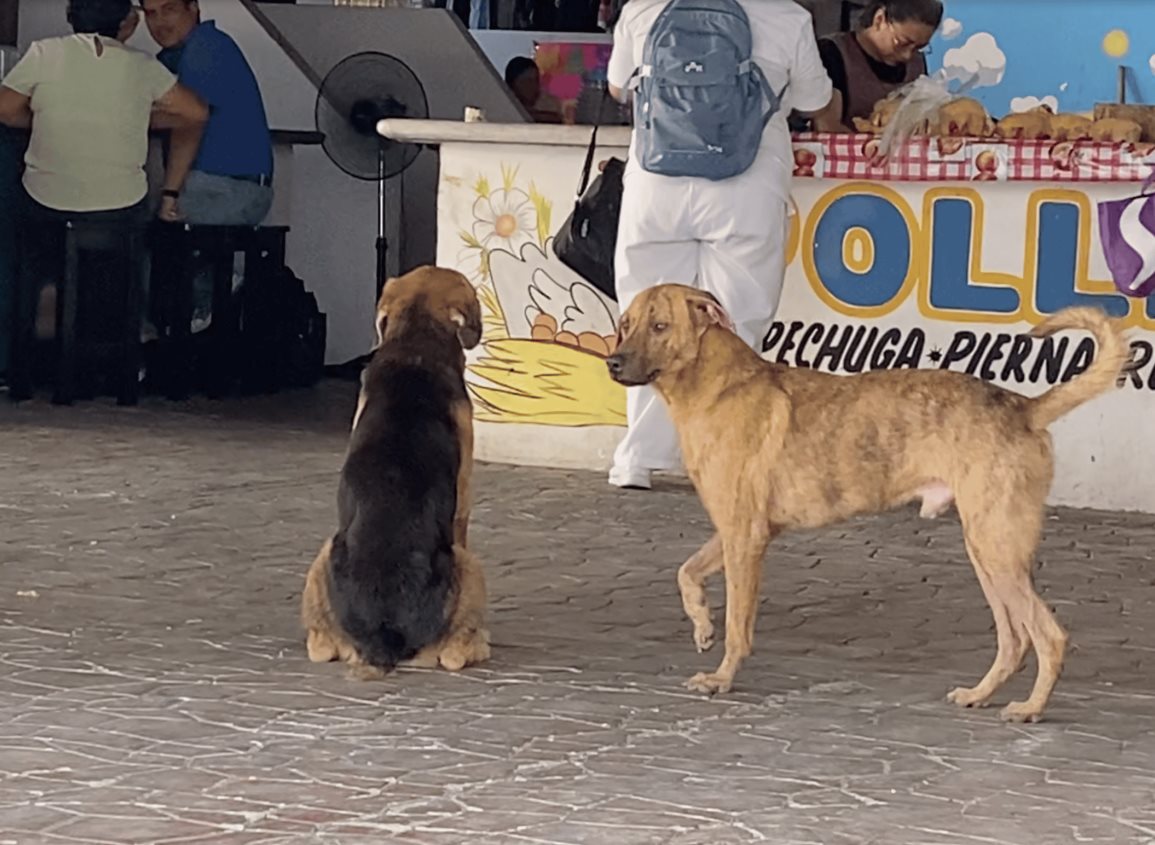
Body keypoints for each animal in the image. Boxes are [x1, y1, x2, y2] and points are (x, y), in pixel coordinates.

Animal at [300, 267, 489, 678]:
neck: (415, 347)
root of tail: (383, 639)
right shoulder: (464, 503)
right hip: (468, 563)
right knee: (453, 656)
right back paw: (480, 644)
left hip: (324, 553)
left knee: (320, 646)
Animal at [609, 283, 1131, 720]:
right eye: (626, 323)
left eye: (660, 326)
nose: (612, 362)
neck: (713, 387)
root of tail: (1024, 407)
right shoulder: (738, 531)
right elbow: (687, 572)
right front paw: (701, 624)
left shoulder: (745, 536)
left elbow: (739, 625)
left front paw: (721, 678)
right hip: (986, 551)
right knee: (1015, 638)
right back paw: (980, 695)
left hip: (996, 547)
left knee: (1049, 635)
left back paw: (1030, 709)